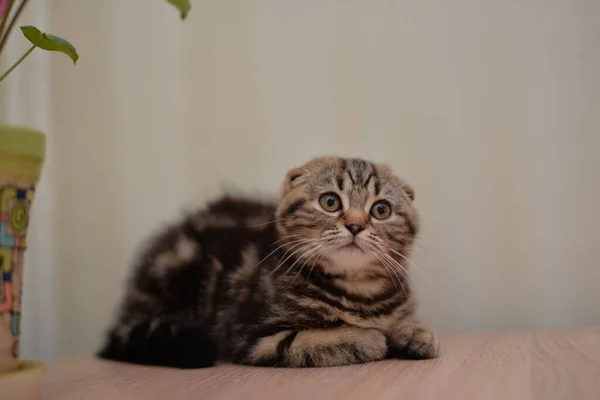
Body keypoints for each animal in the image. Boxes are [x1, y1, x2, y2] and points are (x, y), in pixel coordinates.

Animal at [97, 157, 436, 368]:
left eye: (381, 210)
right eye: (330, 202)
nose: (355, 225)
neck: (358, 289)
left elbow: (406, 321)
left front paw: (417, 332)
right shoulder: (252, 336)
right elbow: (312, 340)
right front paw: (367, 338)